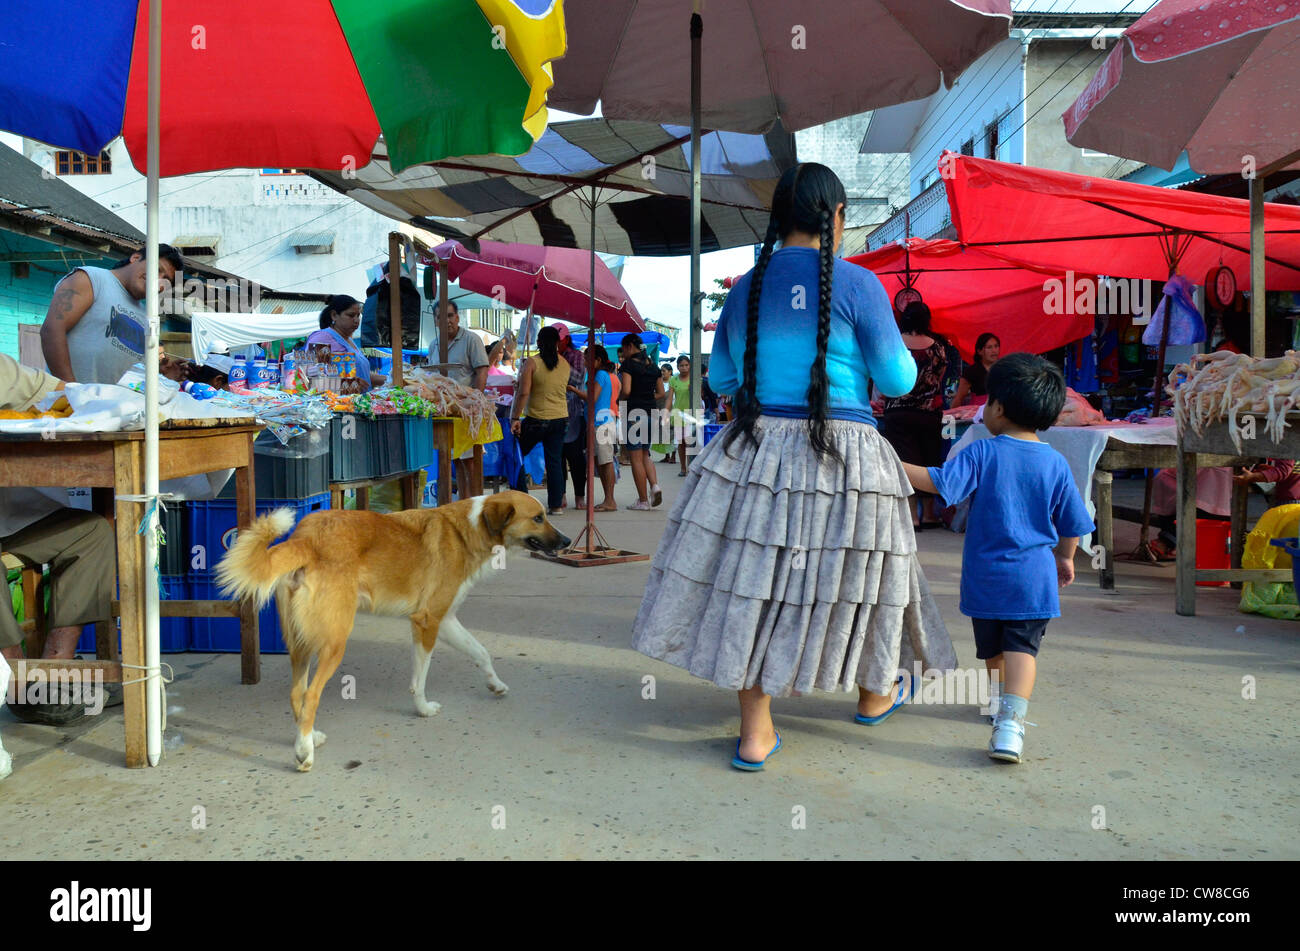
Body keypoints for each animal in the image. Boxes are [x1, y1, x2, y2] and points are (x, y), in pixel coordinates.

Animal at [214, 493, 569, 769]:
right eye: (538, 518)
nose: (566, 542)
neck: (469, 528)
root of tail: (305, 540)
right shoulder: (427, 621)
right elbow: (420, 679)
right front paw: (423, 709)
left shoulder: (446, 619)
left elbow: (480, 651)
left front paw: (495, 685)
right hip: (334, 641)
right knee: (312, 695)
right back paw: (304, 753)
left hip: (301, 643)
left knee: (297, 692)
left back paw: (310, 736)